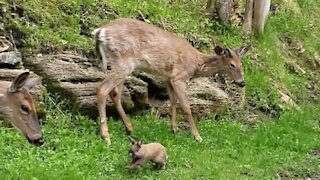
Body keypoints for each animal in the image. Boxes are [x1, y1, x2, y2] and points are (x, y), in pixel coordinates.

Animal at [92, 17, 250, 145]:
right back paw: (106, 136)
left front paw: (174, 129)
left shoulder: (168, 78)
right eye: (232, 65)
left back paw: (129, 128)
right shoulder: (179, 77)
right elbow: (186, 106)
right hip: (123, 62)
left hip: (118, 64)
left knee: (115, 93)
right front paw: (197, 136)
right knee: (102, 89)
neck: (196, 63)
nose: (242, 82)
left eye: (242, 64)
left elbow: (173, 101)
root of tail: (100, 31)